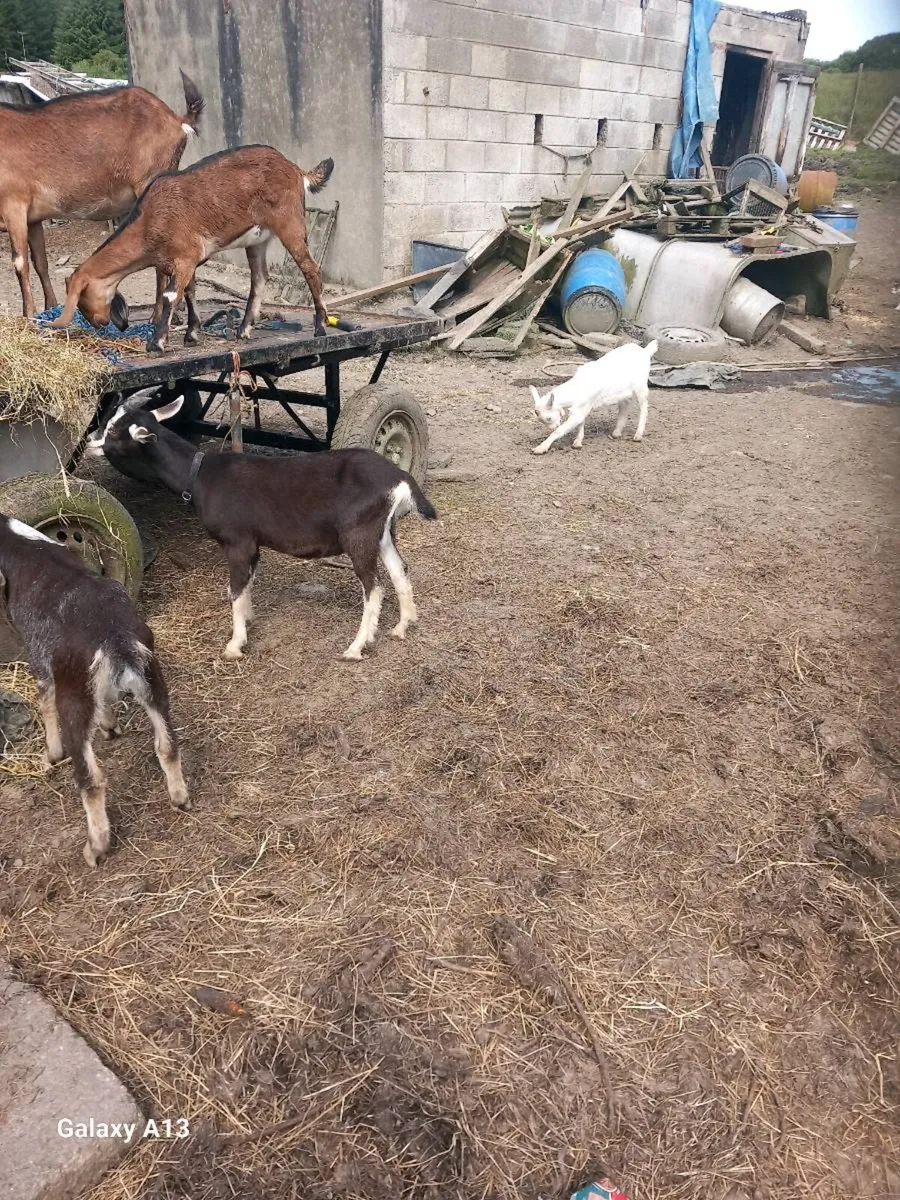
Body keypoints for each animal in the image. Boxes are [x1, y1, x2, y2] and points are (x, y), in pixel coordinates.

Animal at [0, 71, 203, 317]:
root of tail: (177, 120)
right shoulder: (33, 217)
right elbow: (41, 261)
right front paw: (50, 308)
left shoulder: (13, 203)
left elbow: (20, 263)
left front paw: (28, 314)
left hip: (150, 181)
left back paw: (156, 315)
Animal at [0, 515, 189, 867]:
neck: (23, 545)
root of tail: (116, 639)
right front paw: (109, 725)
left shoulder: (40, 658)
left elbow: (44, 700)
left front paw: (51, 755)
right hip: (153, 684)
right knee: (167, 745)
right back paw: (180, 798)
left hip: (74, 699)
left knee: (91, 780)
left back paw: (96, 847)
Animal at [52, 145, 334, 351]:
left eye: (82, 299)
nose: (100, 323)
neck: (149, 221)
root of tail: (296, 170)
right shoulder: (186, 261)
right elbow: (189, 292)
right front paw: (192, 334)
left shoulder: (185, 257)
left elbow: (171, 295)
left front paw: (157, 342)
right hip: (257, 240)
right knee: (260, 277)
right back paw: (243, 330)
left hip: (290, 222)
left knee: (310, 268)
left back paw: (320, 327)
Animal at [85, 395, 437, 661]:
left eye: (114, 432)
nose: (89, 442)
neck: (198, 475)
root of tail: (399, 478)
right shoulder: (253, 544)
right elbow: (246, 585)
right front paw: (248, 621)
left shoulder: (237, 541)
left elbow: (234, 589)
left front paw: (234, 644)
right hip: (383, 531)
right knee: (399, 570)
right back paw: (402, 626)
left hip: (359, 533)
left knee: (373, 586)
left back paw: (356, 647)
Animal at [530, 340, 658, 454]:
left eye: (548, 418)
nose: (552, 427)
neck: (577, 388)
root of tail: (645, 351)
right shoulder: (583, 407)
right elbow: (581, 422)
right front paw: (578, 442)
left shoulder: (581, 407)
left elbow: (561, 430)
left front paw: (541, 448)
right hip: (623, 392)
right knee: (625, 405)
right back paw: (617, 432)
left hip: (641, 385)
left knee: (644, 408)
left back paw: (638, 435)